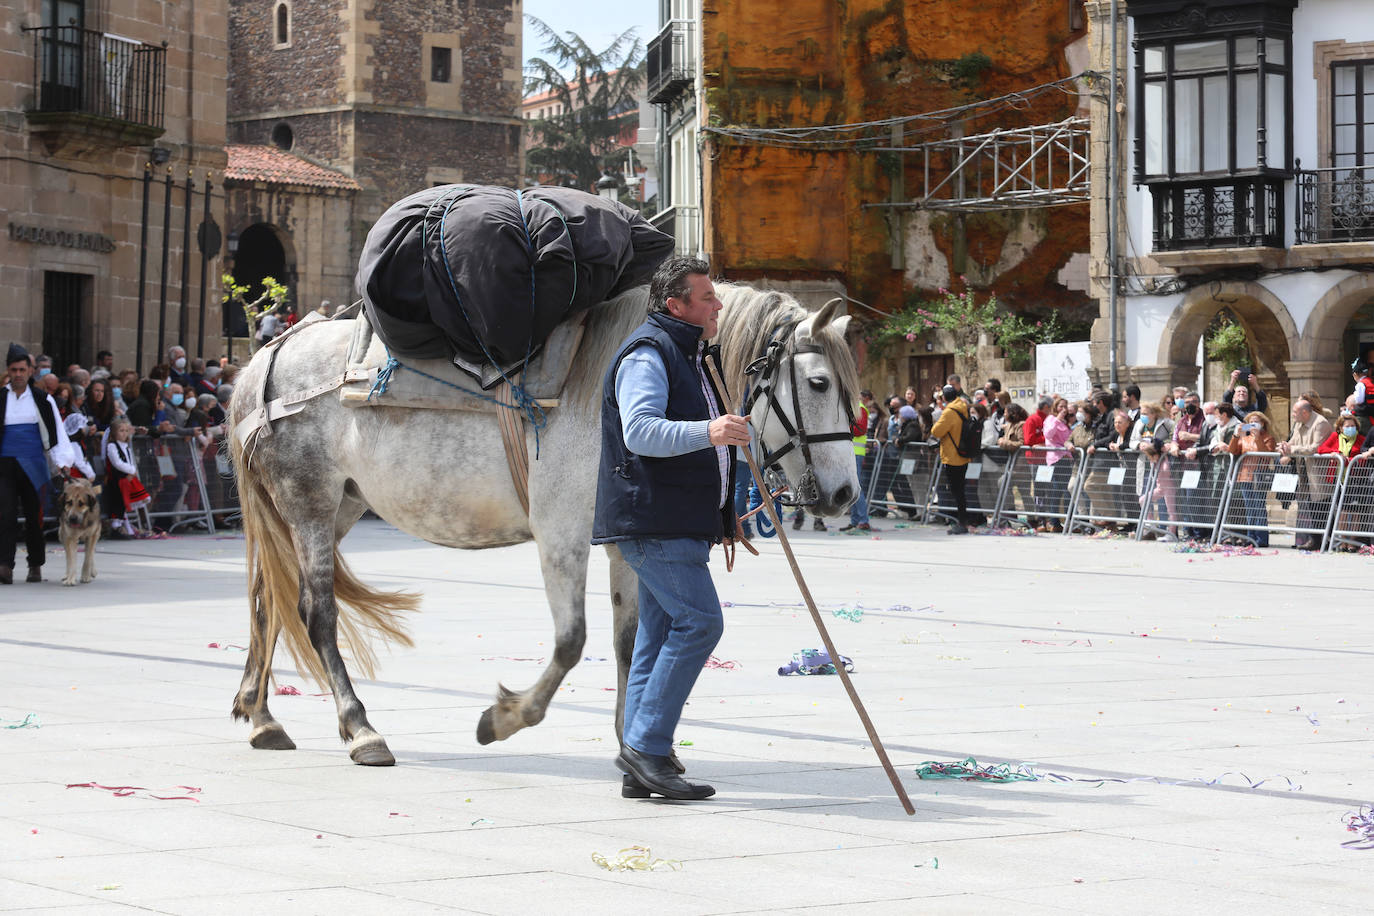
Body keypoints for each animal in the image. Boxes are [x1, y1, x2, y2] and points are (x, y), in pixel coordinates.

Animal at [230, 284, 862, 769]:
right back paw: (360, 728)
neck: (611, 387)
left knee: (266, 600)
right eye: (820, 383)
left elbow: (628, 641)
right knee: (314, 611)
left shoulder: (624, 543)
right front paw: (507, 716)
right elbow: (571, 641)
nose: (845, 495)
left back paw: (262, 717)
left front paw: (632, 745)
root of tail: (270, 358)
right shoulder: (561, 537)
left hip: (336, 509)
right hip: (309, 504)